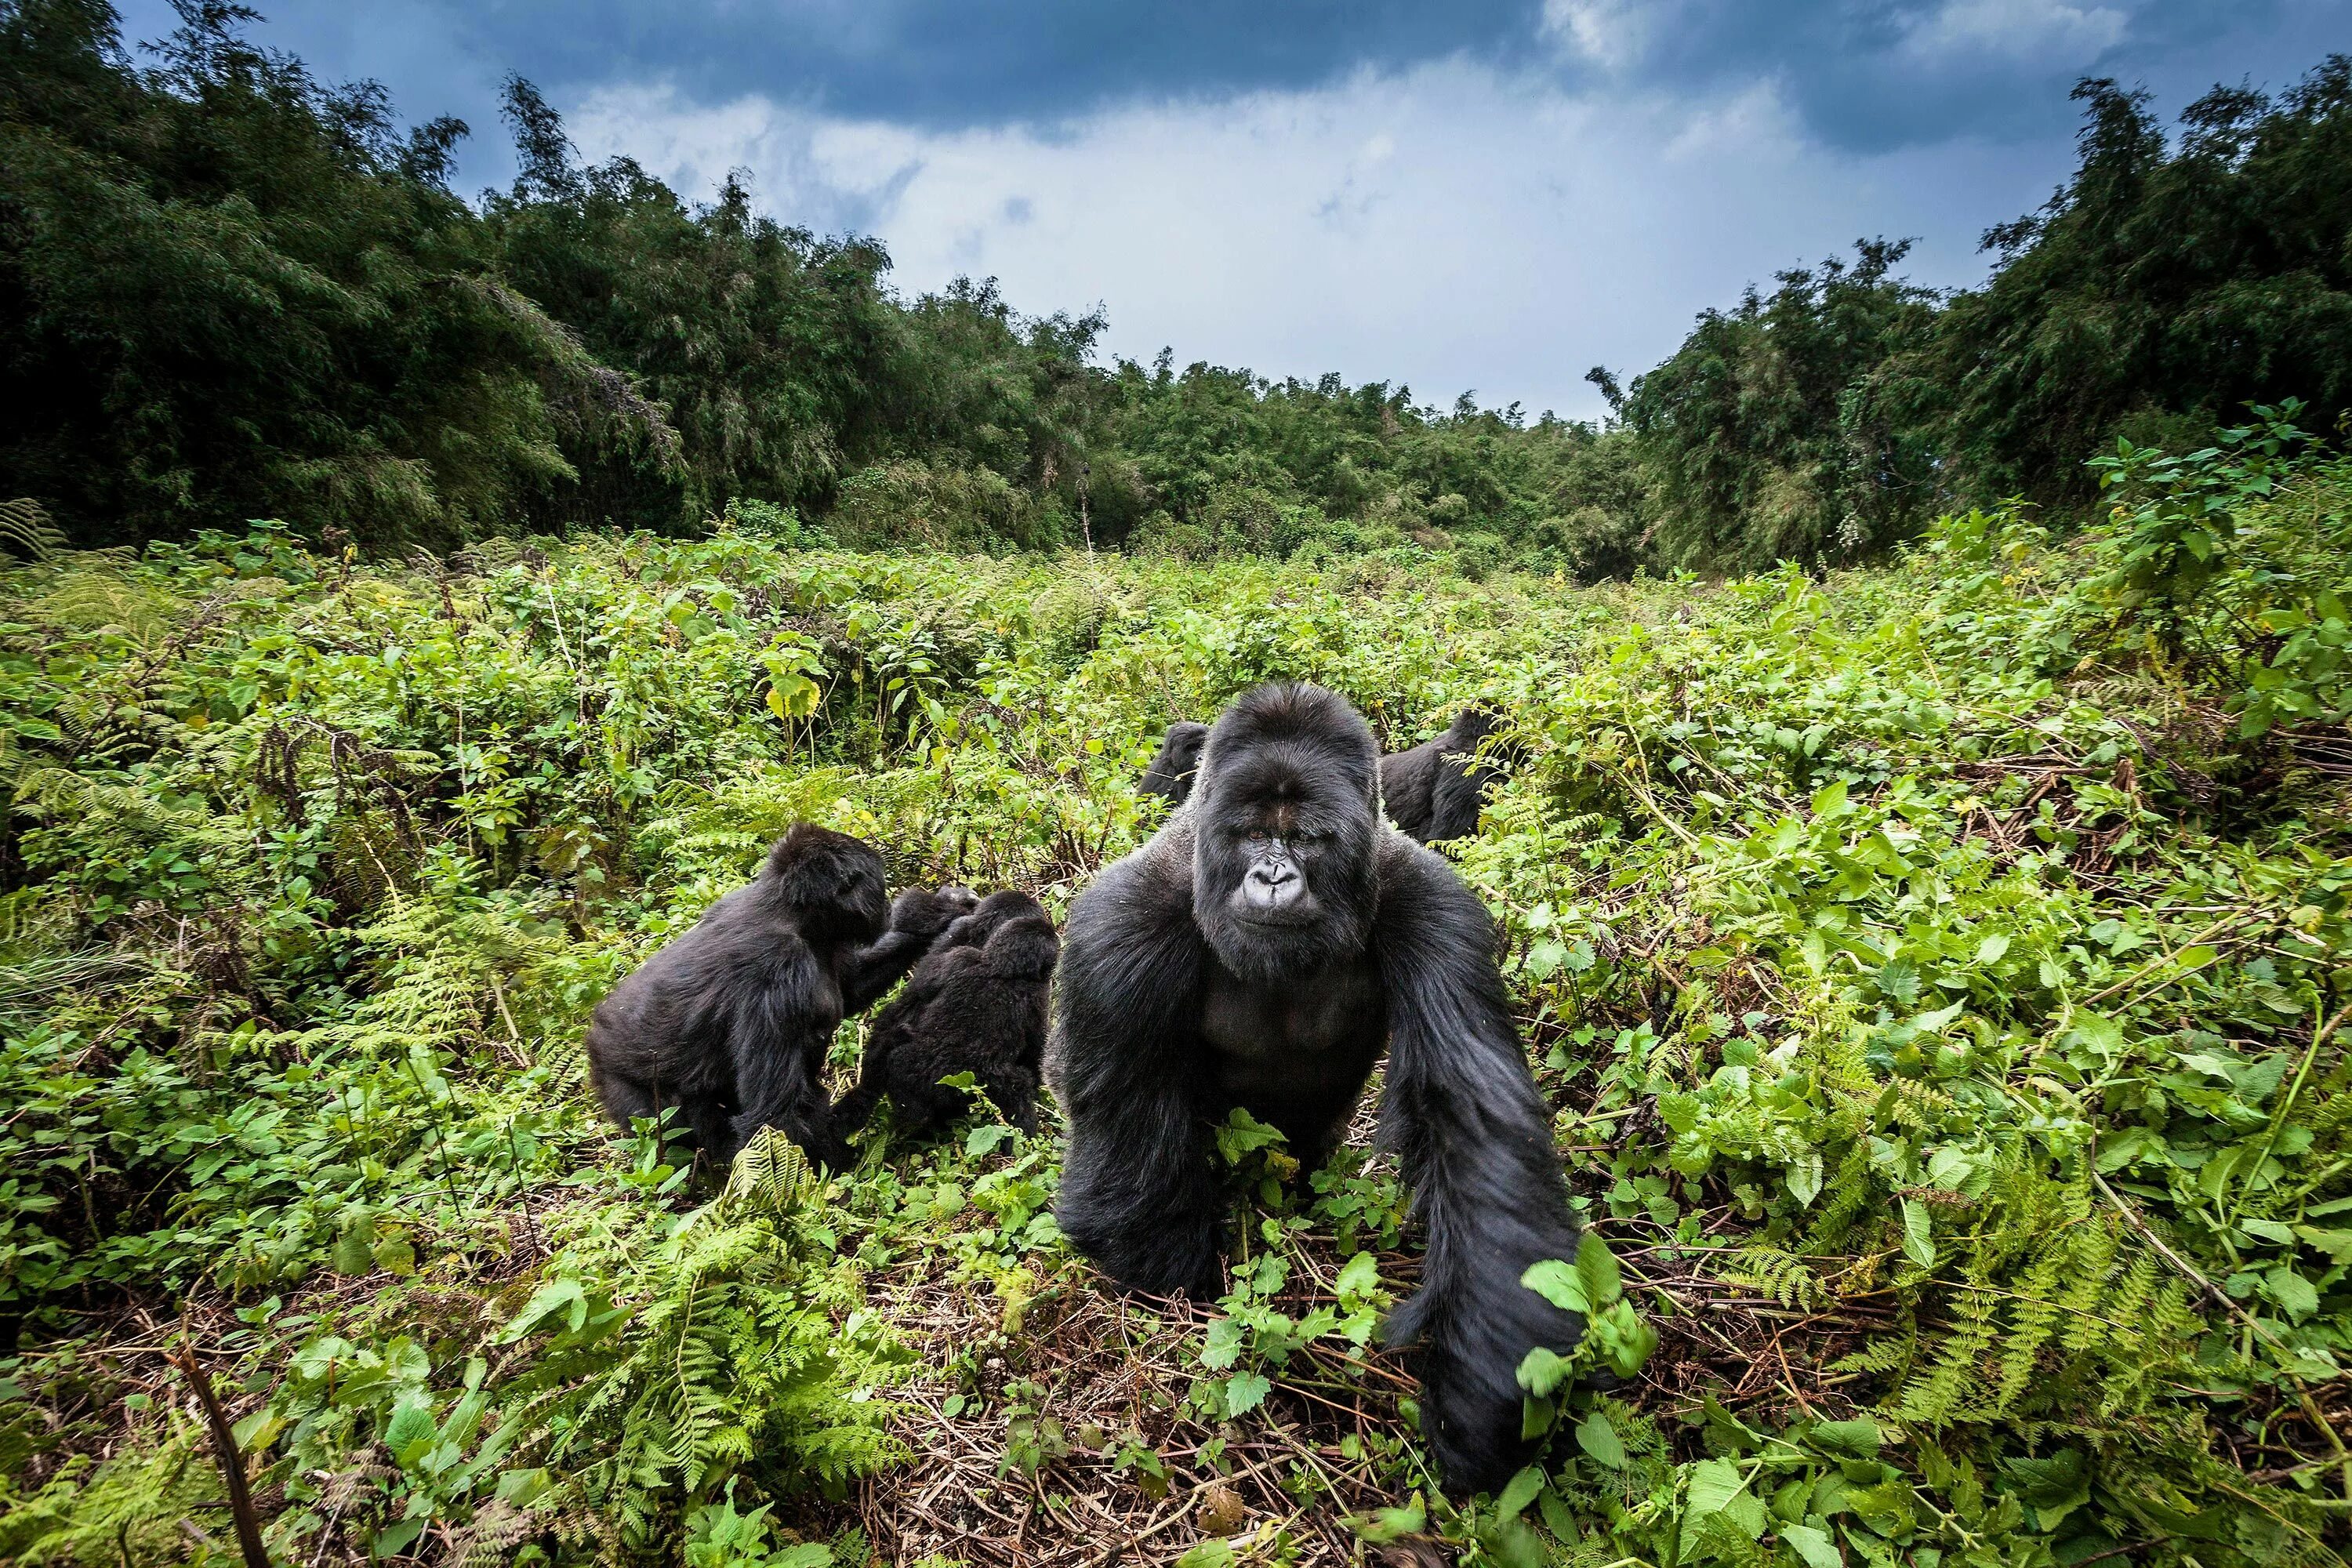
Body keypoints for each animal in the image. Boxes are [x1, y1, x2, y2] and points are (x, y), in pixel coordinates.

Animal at [586, 827, 974, 1171]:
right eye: (877, 884)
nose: (888, 907)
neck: (793, 915)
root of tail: (595, 1032)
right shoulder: (778, 973)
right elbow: (773, 1117)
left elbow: (851, 988)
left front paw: (939, 914)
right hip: (628, 1091)